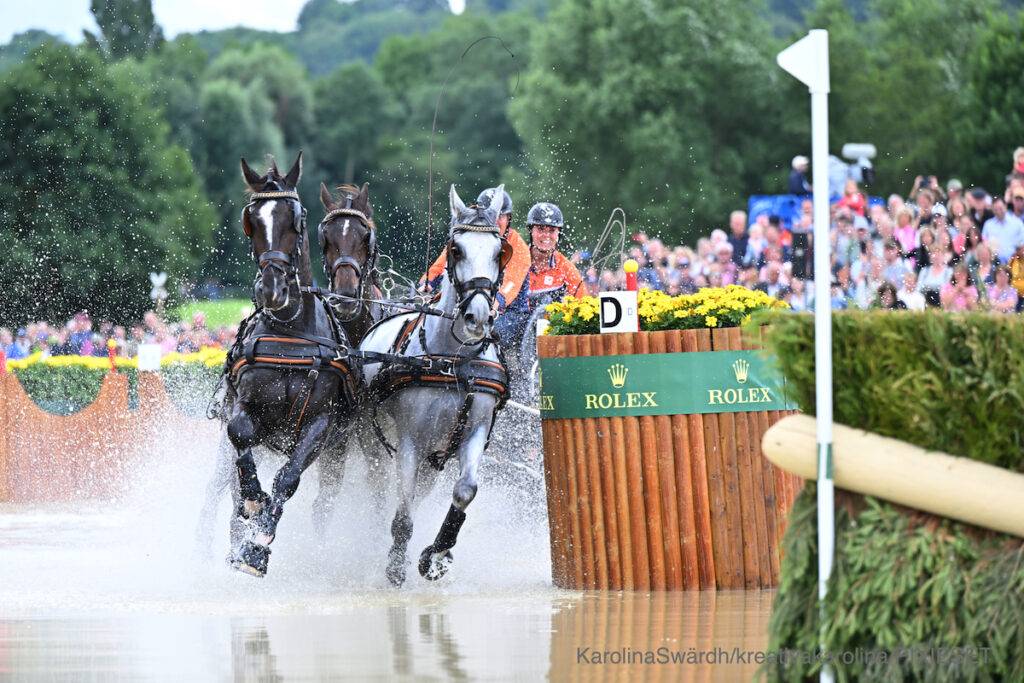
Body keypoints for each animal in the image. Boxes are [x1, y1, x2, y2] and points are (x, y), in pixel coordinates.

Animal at [218, 152, 359, 577]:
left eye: (294, 219)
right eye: (251, 220)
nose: (272, 289)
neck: (290, 333)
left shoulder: (320, 423)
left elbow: (288, 478)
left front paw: (258, 545)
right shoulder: (243, 405)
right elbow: (240, 435)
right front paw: (253, 500)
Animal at [357, 184, 512, 586]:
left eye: (499, 252)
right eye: (455, 250)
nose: (477, 317)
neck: (454, 363)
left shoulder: (473, 433)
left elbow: (465, 491)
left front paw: (437, 554)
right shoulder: (410, 442)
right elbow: (402, 516)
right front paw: (396, 566)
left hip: (433, 458)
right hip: (372, 442)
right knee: (379, 493)